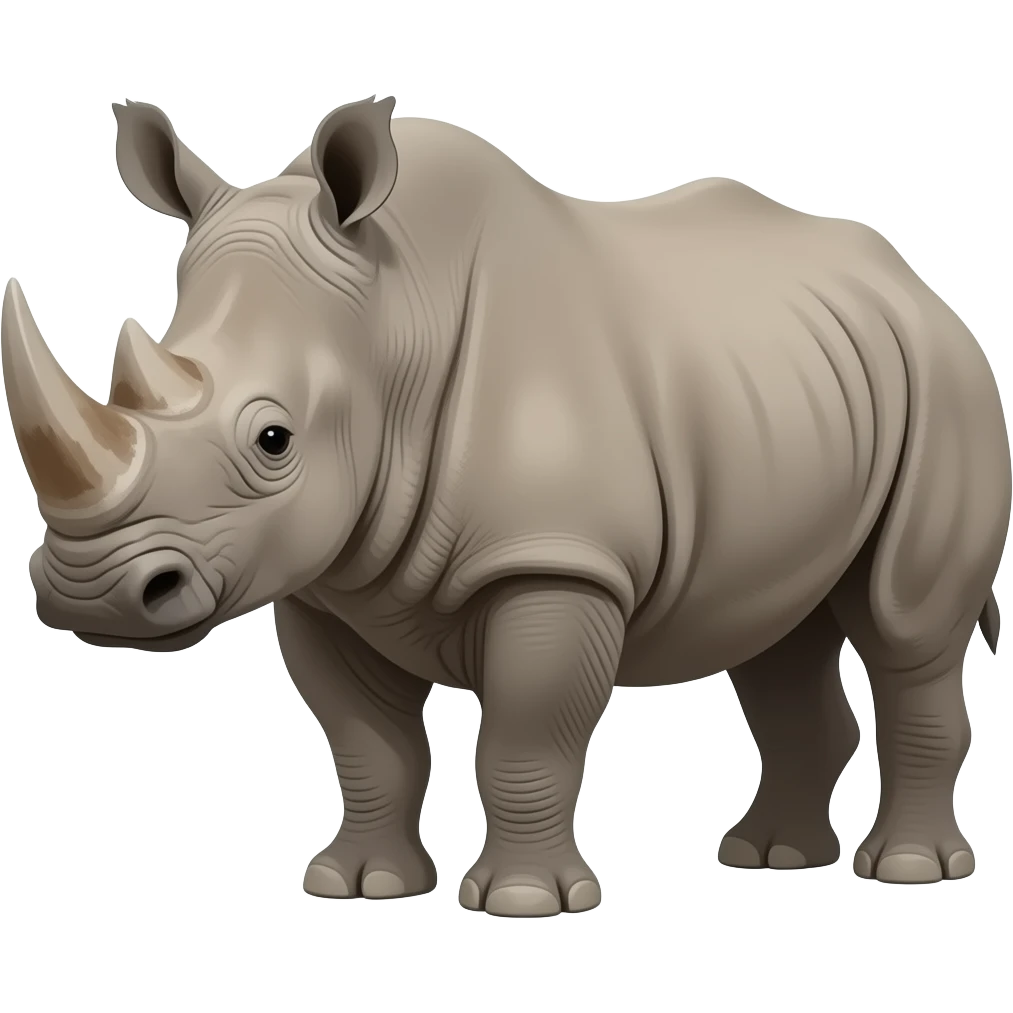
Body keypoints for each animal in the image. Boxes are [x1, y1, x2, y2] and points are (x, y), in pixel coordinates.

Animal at [2, 97, 1008, 913]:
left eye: (273, 440)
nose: (90, 593)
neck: (392, 318)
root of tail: (918, 286)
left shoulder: (555, 561)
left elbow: (528, 734)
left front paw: (524, 901)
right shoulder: (324, 577)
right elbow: (368, 744)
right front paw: (359, 884)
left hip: (947, 384)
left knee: (905, 625)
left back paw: (906, 870)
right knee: (776, 634)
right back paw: (770, 858)